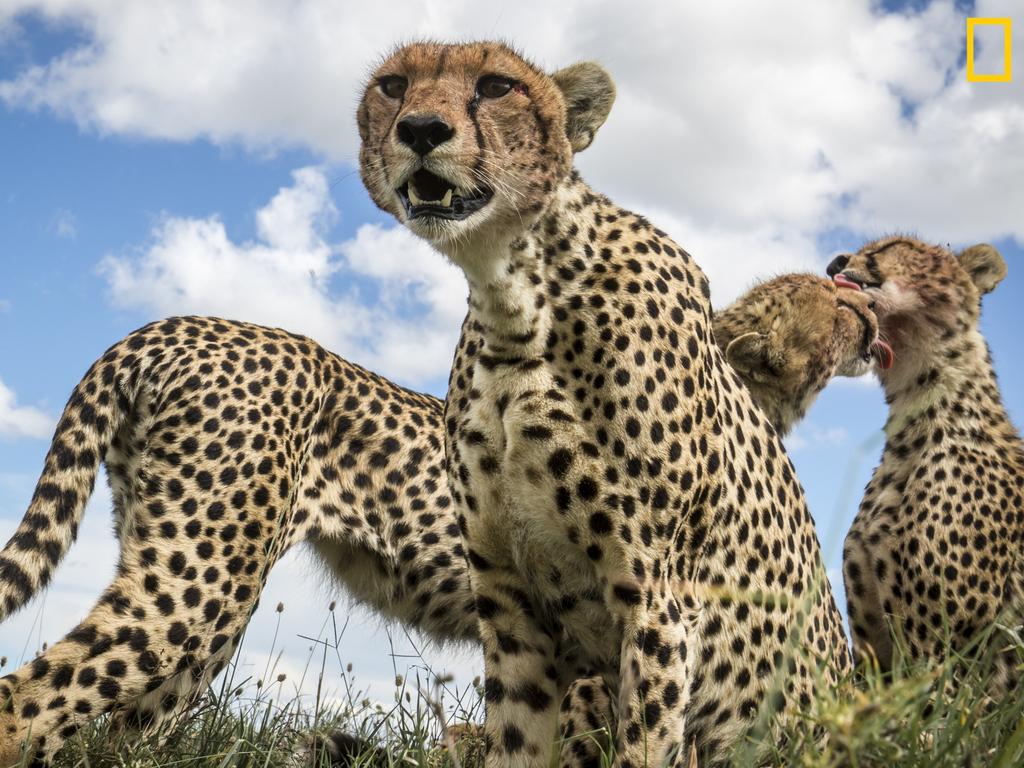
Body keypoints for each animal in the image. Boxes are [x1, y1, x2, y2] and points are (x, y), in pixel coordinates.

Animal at [356, 41, 851, 768]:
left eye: (497, 86)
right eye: (392, 85)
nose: (420, 129)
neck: (517, 305)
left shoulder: (657, 605)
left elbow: (644, 745)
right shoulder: (509, 604)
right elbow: (515, 740)